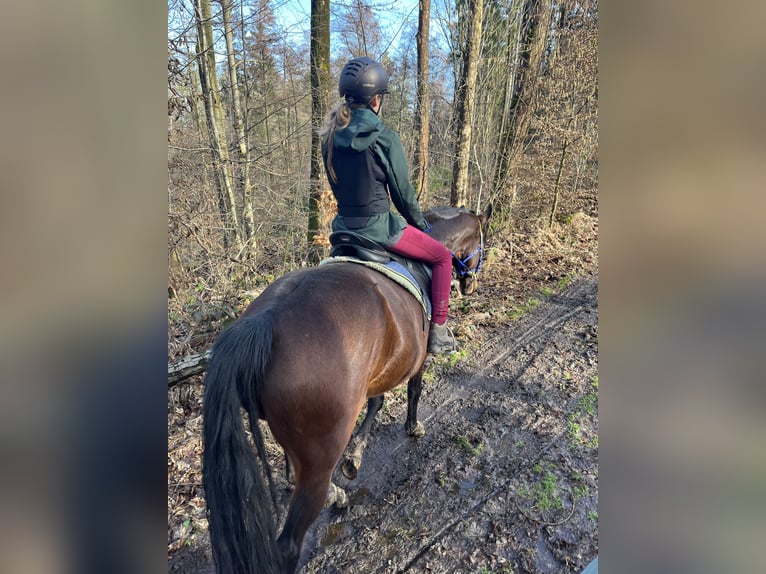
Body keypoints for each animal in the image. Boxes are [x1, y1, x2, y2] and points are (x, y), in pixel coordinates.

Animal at [202, 205, 492, 572]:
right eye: (483, 240)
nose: (471, 284)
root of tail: (262, 322)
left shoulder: (380, 368)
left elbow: (377, 402)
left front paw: (355, 456)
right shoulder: (416, 359)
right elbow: (412, 391)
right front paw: (413, 428)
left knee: (293, 471)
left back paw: (335, 492)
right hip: (319, 453)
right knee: (289, 542)